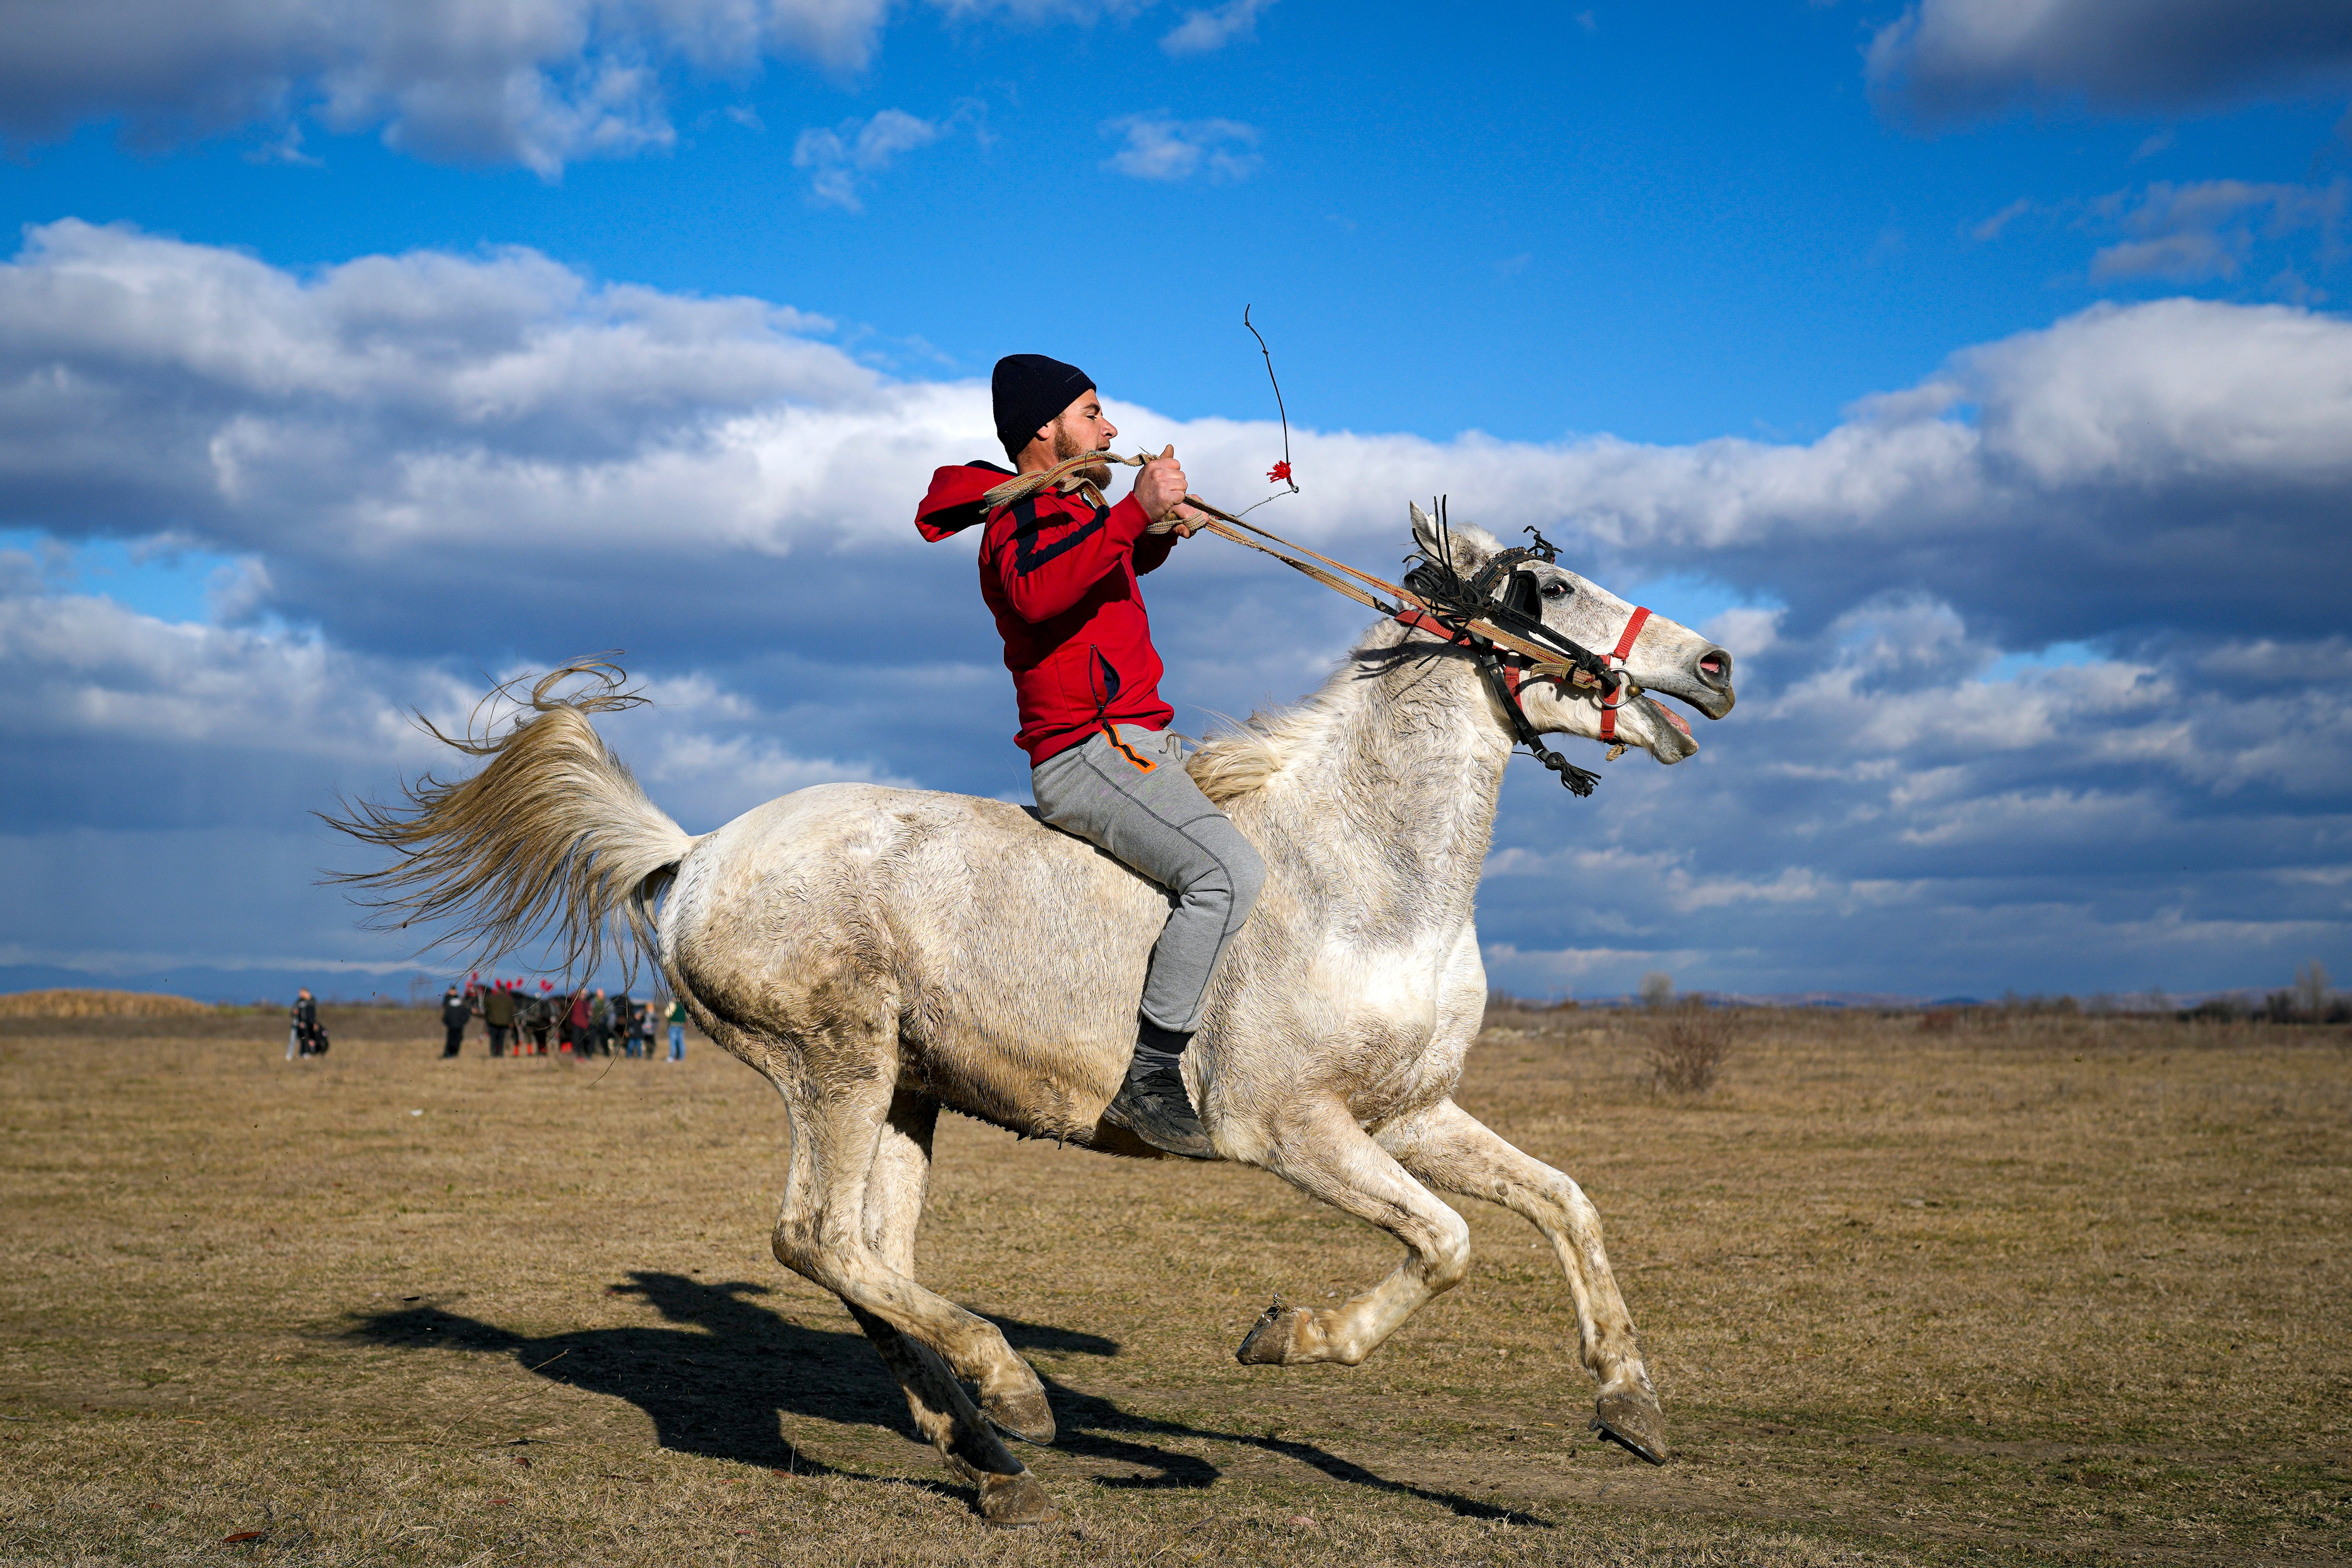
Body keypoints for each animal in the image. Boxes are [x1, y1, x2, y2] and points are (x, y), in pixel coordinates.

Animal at [336, 510, 1731, 1523]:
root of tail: (699, 853)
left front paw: (1630, 1405)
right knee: (815, 1238)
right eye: (1547, 589)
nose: (1715, 666)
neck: (1366, 878)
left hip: (904, 1094)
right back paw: (1009, 1396)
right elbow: (1444, 1244)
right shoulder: (1295, 1131)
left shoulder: (1412, 1114)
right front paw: (1285, 1336)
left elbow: (1563, 1203)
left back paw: (973, 1438)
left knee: (866, 1254)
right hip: (834, 1067)